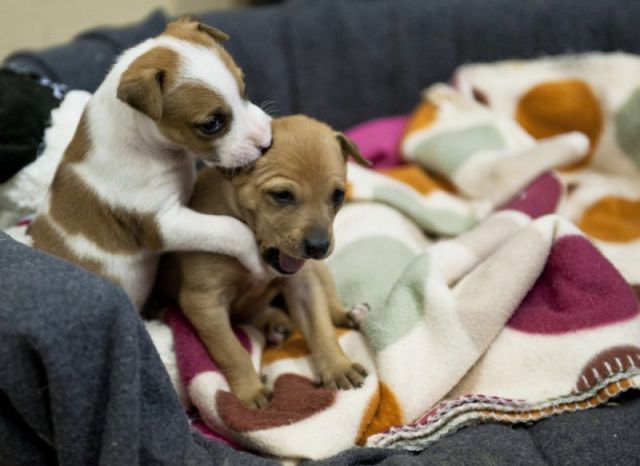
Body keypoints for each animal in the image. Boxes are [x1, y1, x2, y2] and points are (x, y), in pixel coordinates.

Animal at [30, 17, 270, 310]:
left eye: (244, 88)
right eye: (212, 124)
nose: (266, 142)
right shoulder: (164, 223)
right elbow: (230, 229)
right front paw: (257, 260)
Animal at [159, 114, 370, 408]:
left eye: (338, 195)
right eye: (282, 195)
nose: (318, 247)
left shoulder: (303, 286)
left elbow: (321, 327)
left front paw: (338, 367)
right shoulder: (204, 302)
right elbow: (232, 351)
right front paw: (251, 391)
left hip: (319, 270)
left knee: (330, 305)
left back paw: (347, 314)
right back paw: (275, 324)